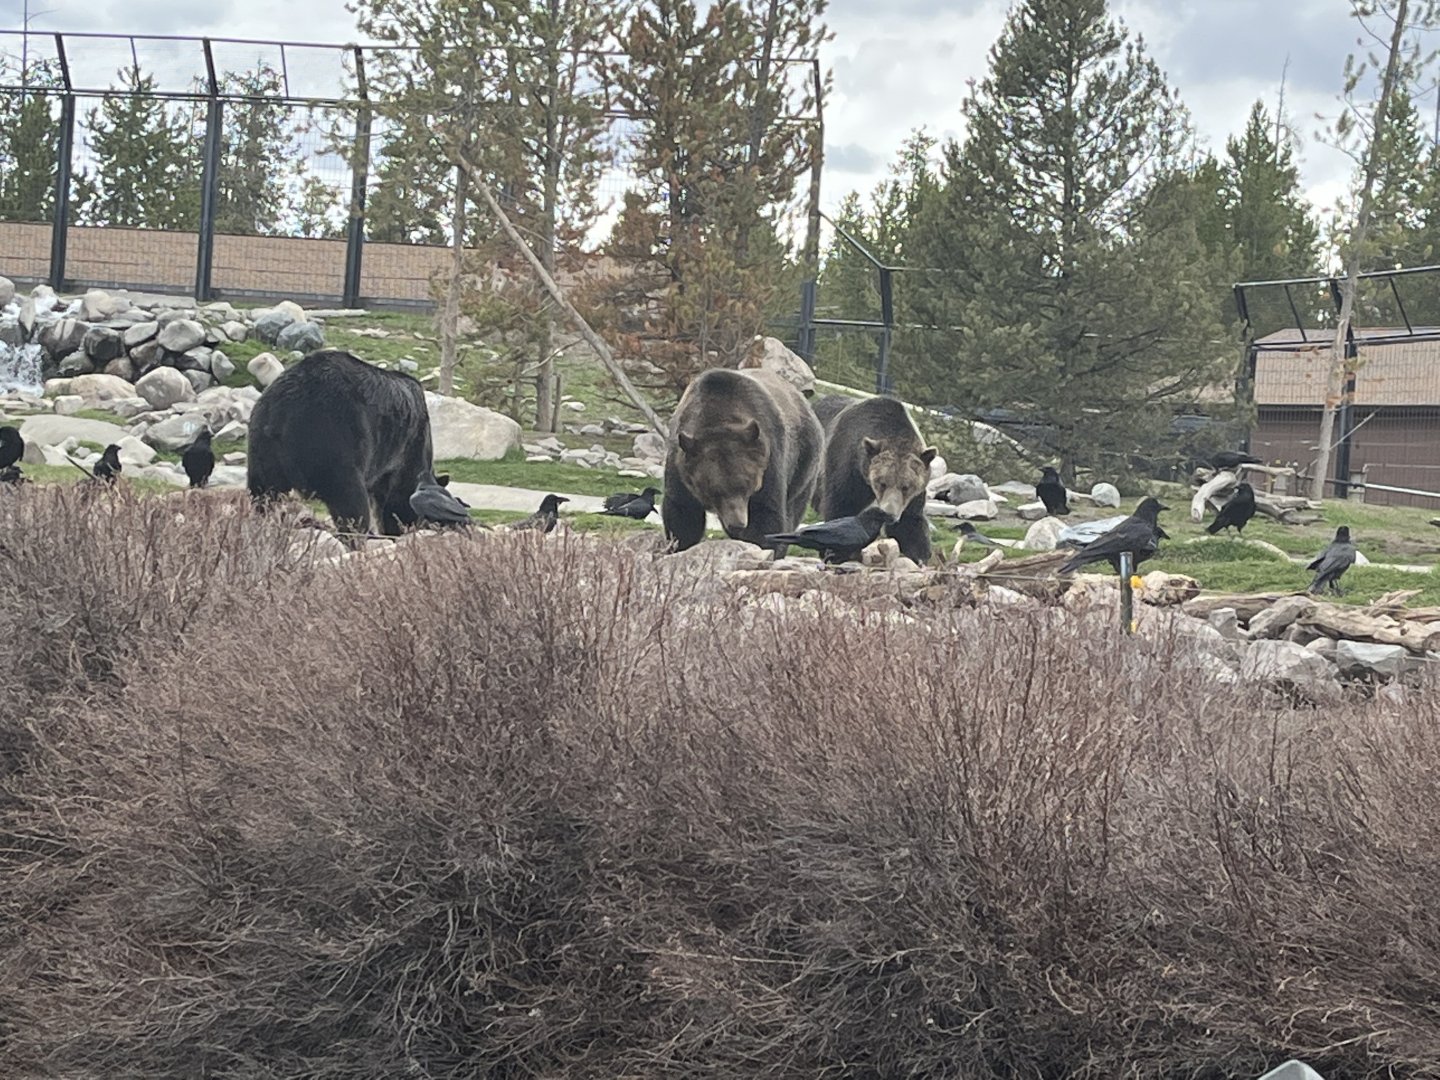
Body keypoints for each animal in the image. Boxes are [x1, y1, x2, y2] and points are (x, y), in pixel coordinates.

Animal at [247, 349, 434, 540]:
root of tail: (281, 412)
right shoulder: (410, 445)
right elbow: (399, 494)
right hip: (334, 443)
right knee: (351, 501)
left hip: (263, 447)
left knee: (264, 493)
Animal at [662, 367, 824, 555]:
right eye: (714, 492)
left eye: (747, 486)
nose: (738, 523)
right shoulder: (680, 467)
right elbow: (683, 514)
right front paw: (677, 546)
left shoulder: (770, 461)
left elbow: (766, 514)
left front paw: (761, 544)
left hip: (804, 462)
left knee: (793, 510)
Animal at [820, 396, 937, 564]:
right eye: (882, 483)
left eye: (906, 487)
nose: (890, 514)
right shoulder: (848, 466)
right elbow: (843, 504)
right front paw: (836, 552)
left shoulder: (913, 497)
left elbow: (910, 522)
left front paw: (919, 555)